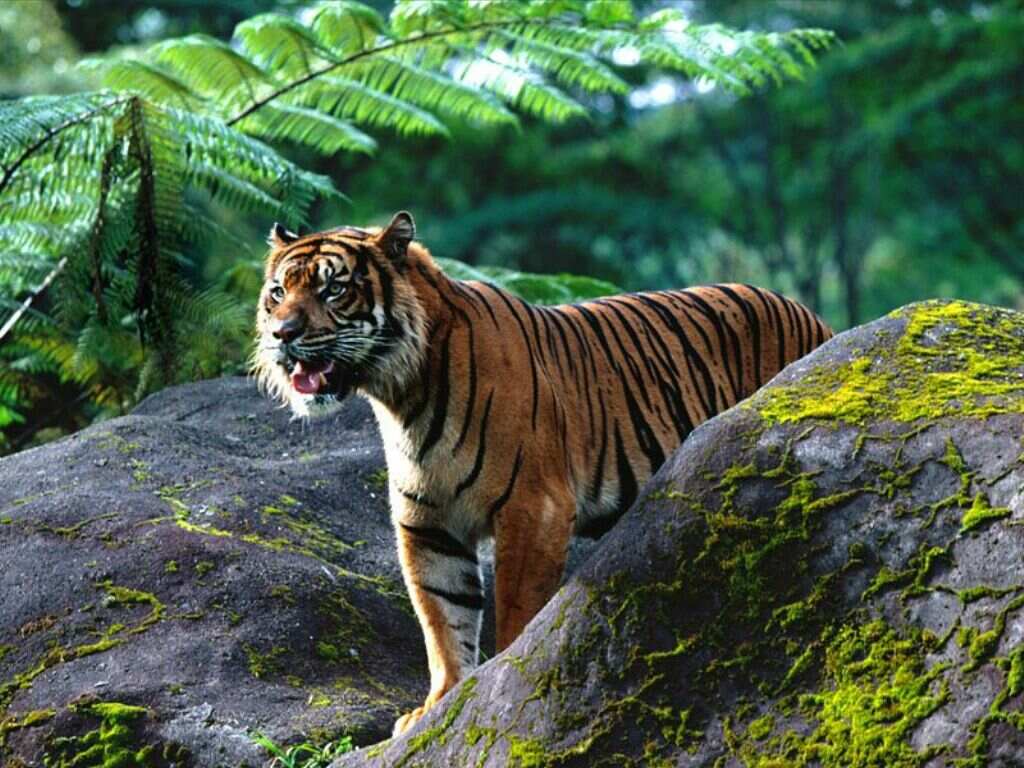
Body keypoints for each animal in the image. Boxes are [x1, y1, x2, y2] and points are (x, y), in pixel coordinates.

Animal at [253, 211, 833, 736]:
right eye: (278, 292)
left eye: (333, 289)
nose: (282, 334)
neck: (402, 395)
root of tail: (814, 317)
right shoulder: (428, 525)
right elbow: (441, 619)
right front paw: (438, 704)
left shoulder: (534, 508)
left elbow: (515, 609)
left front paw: (497, 685)